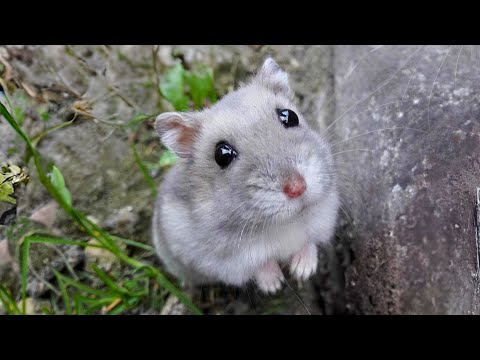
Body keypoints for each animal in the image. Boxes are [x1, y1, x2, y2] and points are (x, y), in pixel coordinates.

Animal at [152, 56, 340, 292]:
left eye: (290, 116)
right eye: (222, 155)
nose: (297, 188)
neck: (286, 222)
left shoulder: (324, 217)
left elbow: (309, 242)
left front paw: (303, 271)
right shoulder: (228, 262)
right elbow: (260, 266)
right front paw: (274, 286)